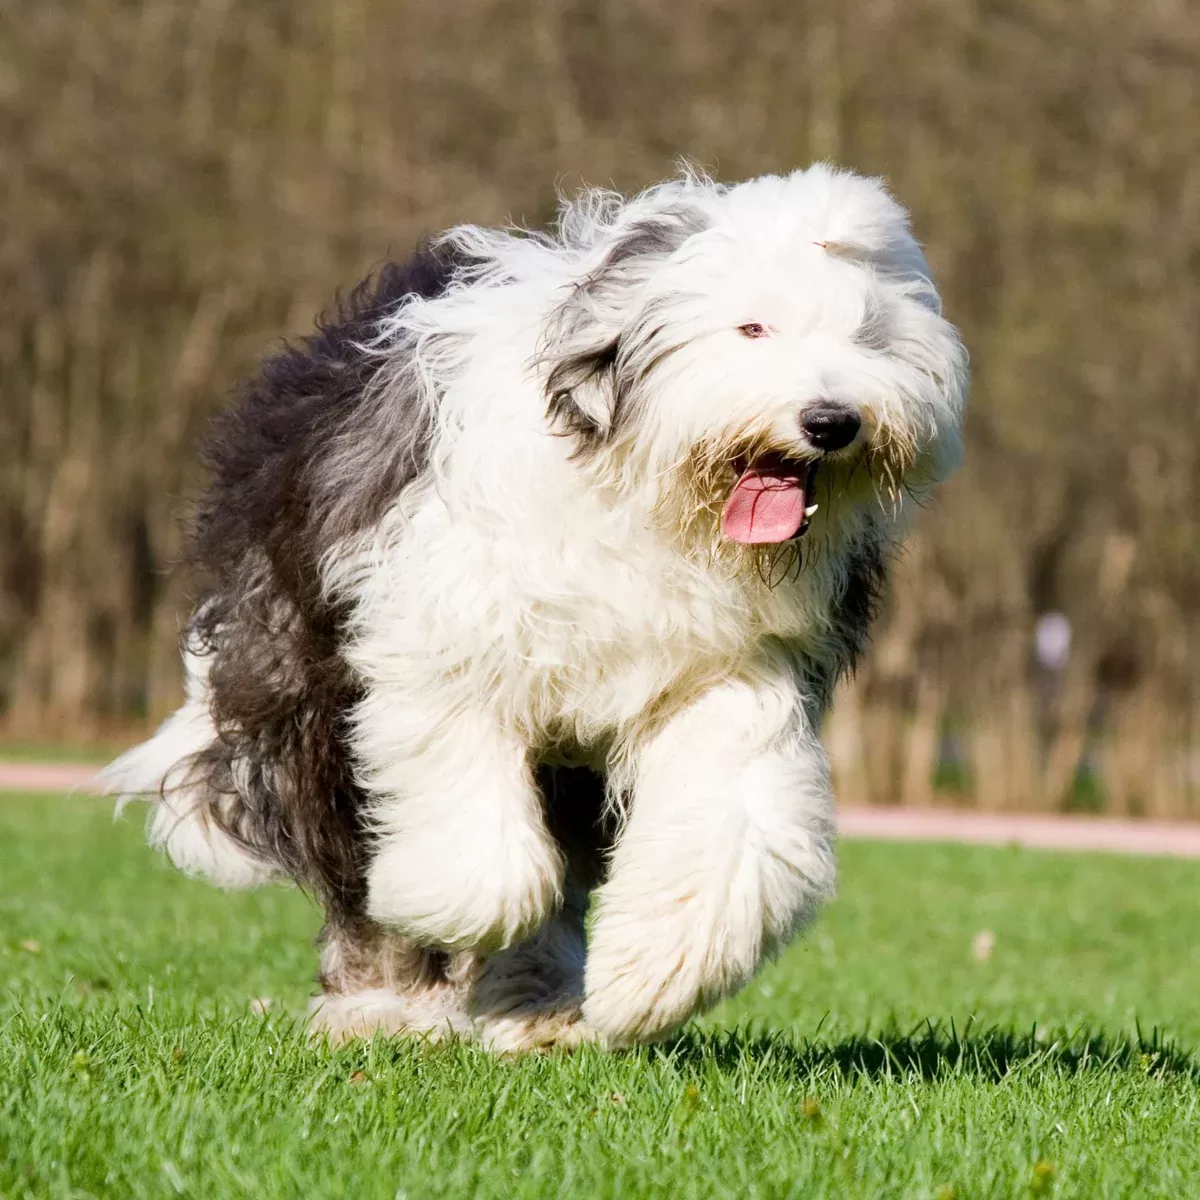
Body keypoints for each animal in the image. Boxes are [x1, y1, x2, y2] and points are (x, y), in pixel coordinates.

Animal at [100, 162, 964, 1051]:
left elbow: (731, 828)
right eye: (752, 328)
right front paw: (456, 916)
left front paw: (653, 977)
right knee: (354, 860)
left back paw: (539, 1007)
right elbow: (477, 856)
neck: (641, 497)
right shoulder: (443, 643)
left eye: (869, 337)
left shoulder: (727, 670)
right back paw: (384, 1005)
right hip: (306, 687)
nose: (831, 421)